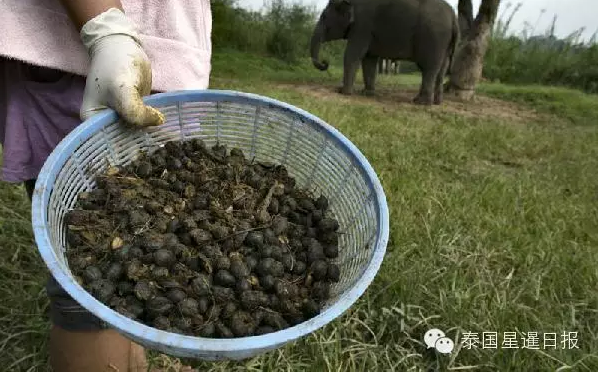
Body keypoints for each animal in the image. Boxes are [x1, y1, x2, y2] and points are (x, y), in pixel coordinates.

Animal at [312, 0, 462, 104]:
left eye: (324, 17)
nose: (325, 62)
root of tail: (454, 18)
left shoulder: (362, 25)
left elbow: (353, 55)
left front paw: (342, 92)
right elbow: (369, 59)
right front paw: (366, 93)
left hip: (434, 38)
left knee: (429, 69)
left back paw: (420, 102)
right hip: (445, 43)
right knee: (441, 71)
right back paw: (436, 102)